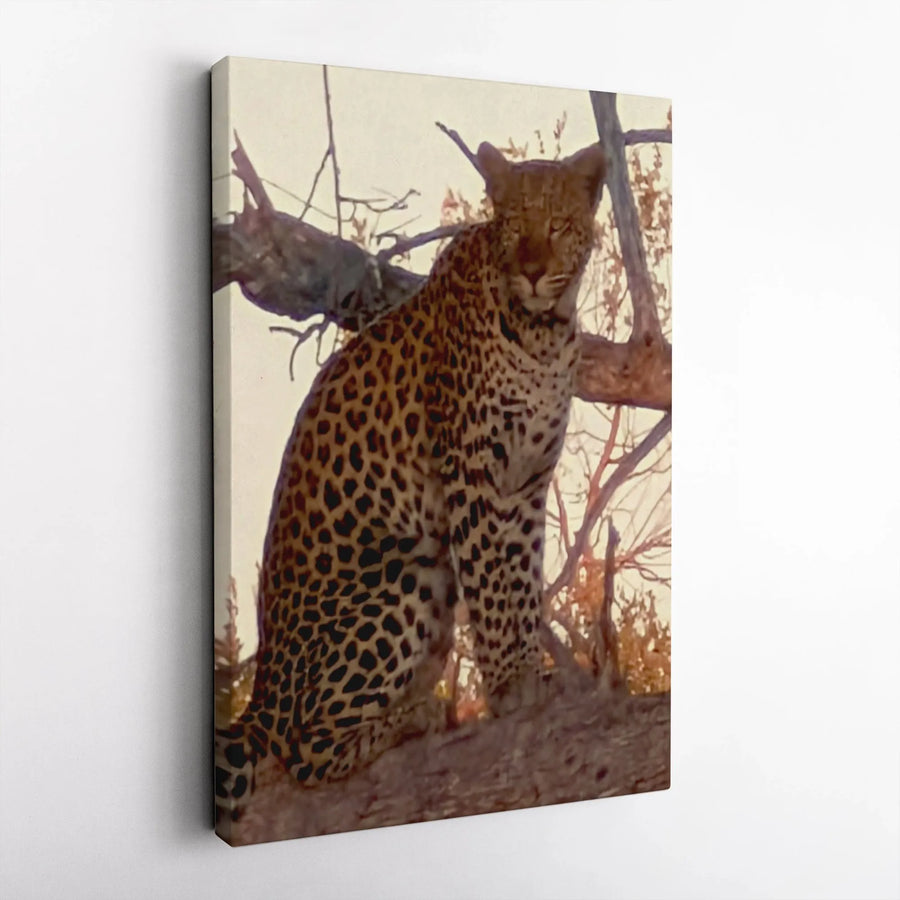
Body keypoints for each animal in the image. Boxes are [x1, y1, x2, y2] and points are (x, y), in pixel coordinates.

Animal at [215, 140, 607, 832]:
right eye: (514, 226)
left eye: (560, 226)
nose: (534, 273)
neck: (544, 332)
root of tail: (261, 693)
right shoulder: (476, 476)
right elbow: (494, 586)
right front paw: (512, 687)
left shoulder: (526, 484)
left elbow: (522, 583)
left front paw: (528, 672)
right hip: (405, 570)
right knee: (303, 750)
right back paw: (415, 717)